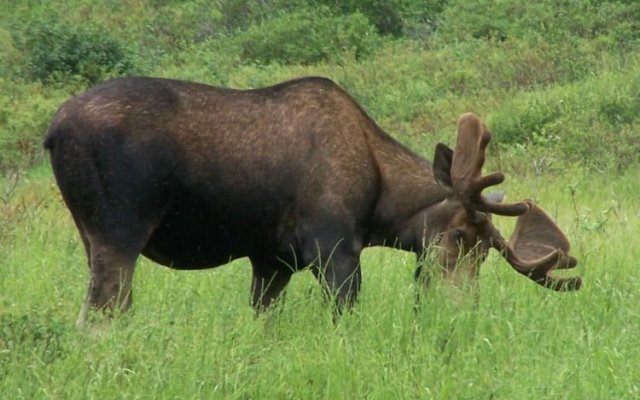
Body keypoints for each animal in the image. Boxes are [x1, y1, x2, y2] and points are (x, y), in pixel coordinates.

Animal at [45, 76, 584, 324]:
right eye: (457, 235)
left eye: (486, 250)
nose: (460, 309)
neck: (382, 204)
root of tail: (52, 133)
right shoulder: (334, 249)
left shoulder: (272, 262)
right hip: (119, 234)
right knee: (98, 317)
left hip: (91, 236)